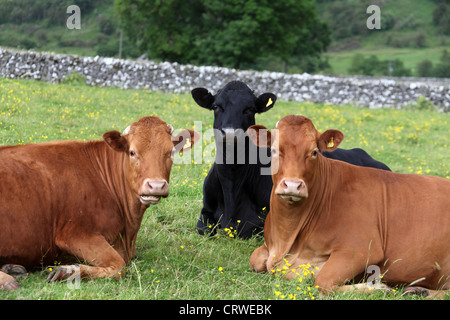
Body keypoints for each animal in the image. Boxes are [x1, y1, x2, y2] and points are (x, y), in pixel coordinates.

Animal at [0, 115, 197, 290]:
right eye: (132, 152)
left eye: (171, 152)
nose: (156, 185)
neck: (129, 231)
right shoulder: (76, 233)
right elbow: (119, 266)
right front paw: (68, 271)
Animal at [248, 116, 450, 298]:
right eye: (274, 150)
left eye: (314, 152)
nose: (292, 185)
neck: (286, 239)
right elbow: (255, 259)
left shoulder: (360, 249)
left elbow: (323, 281)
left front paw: (377, 287)